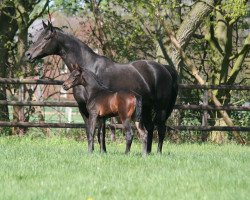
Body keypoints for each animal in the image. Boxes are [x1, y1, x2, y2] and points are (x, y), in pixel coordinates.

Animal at [25, 21, 179, 154]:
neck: (90, 67)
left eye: (46, 37)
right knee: (149, 128)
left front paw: (102, 151)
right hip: (145, 107)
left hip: (161, 108)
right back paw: (147, 152)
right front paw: (96, 150)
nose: (28, 54)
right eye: (38, 36)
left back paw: (157, 153)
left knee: (161, 129)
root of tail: (165, 69)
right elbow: (90, 130)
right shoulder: (83, 107)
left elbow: (100, 131)